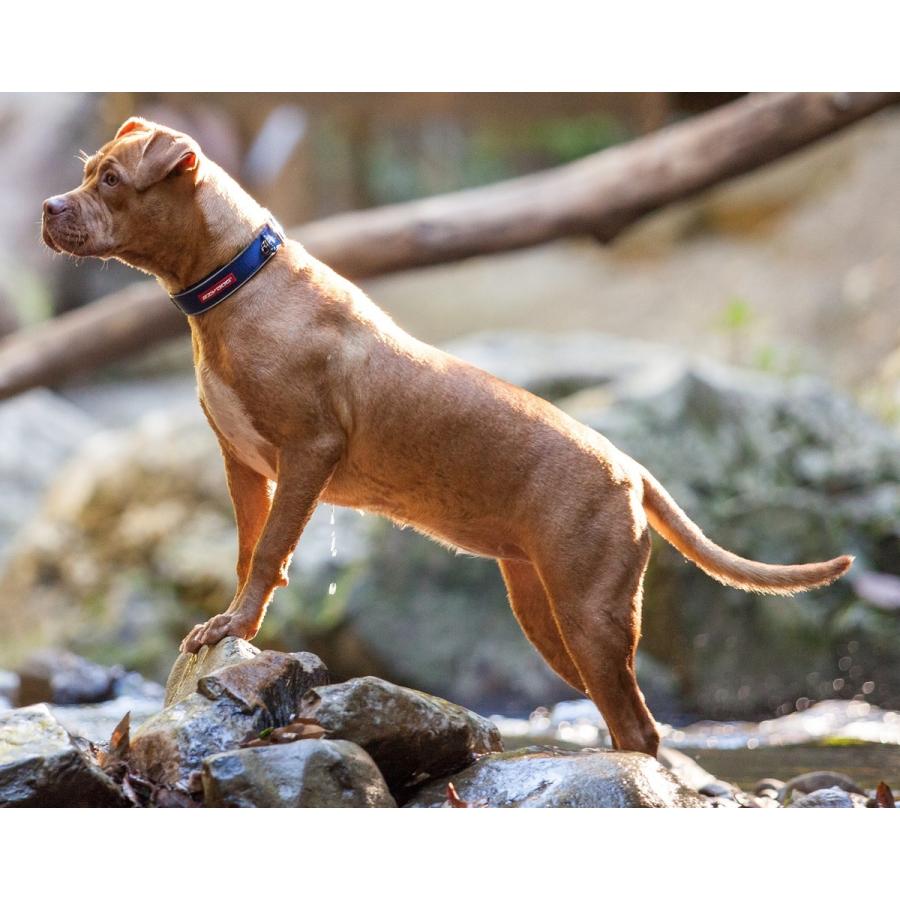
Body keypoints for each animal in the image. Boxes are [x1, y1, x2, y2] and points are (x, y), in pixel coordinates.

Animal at [42, 117, 853, 756]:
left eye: (111, 179)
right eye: (84, 172)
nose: (48, 207)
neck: (235, 283)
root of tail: (631, 468)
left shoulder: (308, 453)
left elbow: (271, 551)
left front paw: (235, 622)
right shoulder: (244, 464)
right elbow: (249, 551)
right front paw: (233, 624)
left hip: (592, 616)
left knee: (640, 730)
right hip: (551, 618)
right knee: (630, 725)